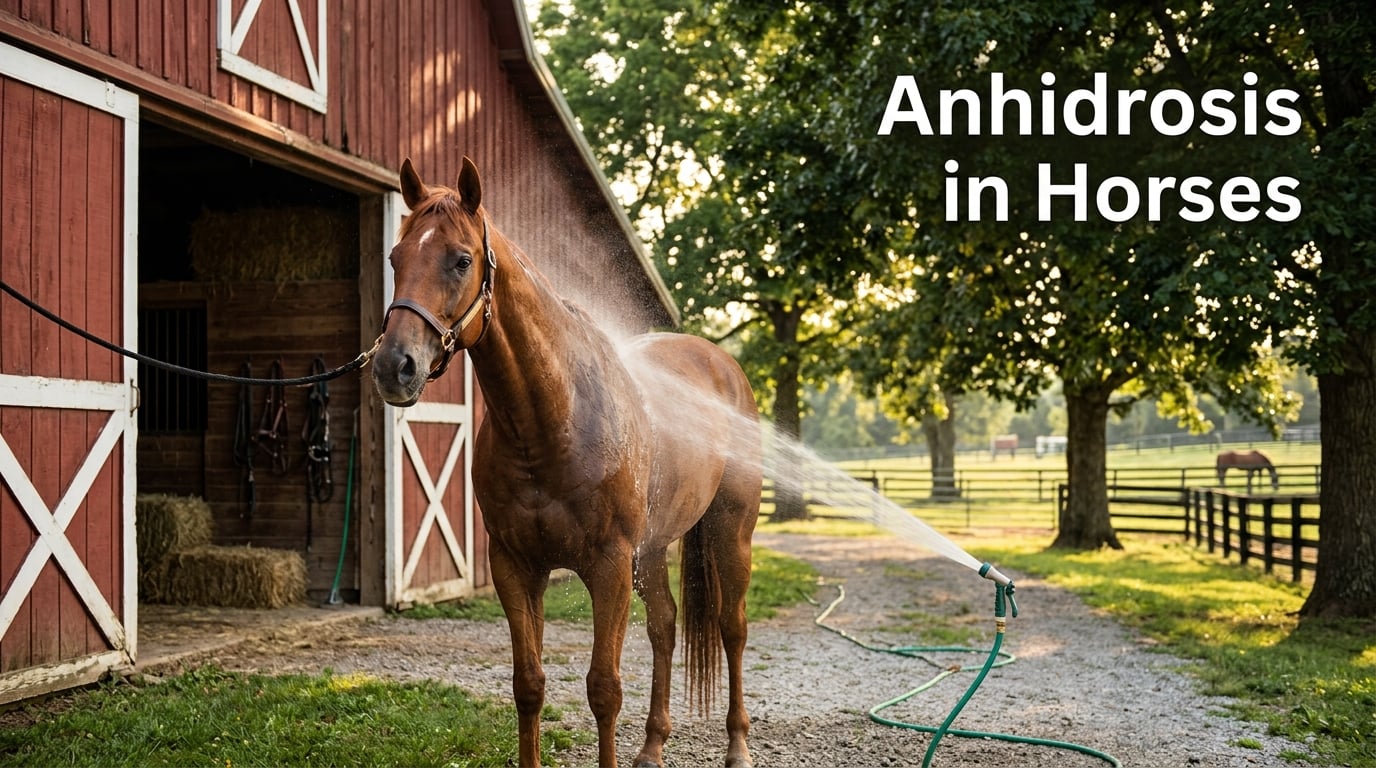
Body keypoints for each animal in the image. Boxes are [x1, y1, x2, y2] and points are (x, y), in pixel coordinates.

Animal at [371, 157, 761, 768]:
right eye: (396, 258)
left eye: (461, 260)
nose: (395, 367)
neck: (553, 422)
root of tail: (722, 364)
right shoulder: (515, 566)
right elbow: (528, 685)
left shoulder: (608, 566)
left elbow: (604, 688)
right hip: (652, 551)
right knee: (665, 627)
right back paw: (653, 746)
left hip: (730, 533)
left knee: (731, 628)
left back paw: (738, 745)